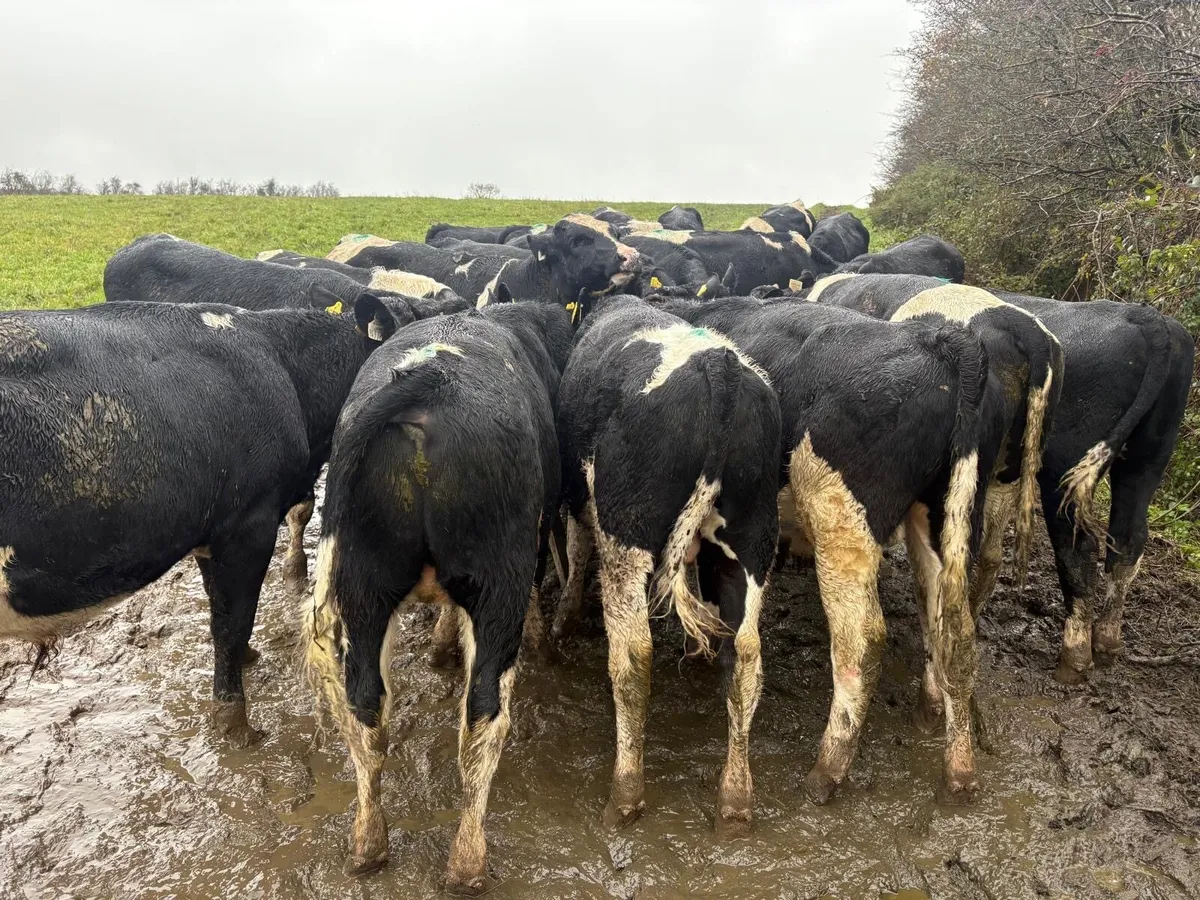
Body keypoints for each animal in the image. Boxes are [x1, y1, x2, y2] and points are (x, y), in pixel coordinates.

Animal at [0, 299, 384, 748]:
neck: (278, 362)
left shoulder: (211, 533)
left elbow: (221, 607)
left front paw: (245, 659)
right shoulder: (247, 525)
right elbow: (232, 622)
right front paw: (235, 722)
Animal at [302, 297, 573, 893]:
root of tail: (428, 380)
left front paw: (441, 647)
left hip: (364, 590)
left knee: (366, 707)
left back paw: (369, 845)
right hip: (498, 585)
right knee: (484, 716)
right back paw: (468, 863)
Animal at [550, 292, 782, 837]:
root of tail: (719, 368)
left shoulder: (578, 496)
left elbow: (576, 547)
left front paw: (563, 619)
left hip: (626, 533)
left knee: (634, 657)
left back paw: (625, 795)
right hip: (752, 540)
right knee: (745, 656)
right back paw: (735, 800)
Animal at [649, 293, 1002, 804]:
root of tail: (941, 342)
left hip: (840, 520)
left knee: (862, 641)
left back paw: (828, 768)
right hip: (947, 516)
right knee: (954, 631)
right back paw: (956, 765)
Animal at [987, 291, 1194, 684]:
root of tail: (1150, 320)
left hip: (1064, 463)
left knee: (1079, 545)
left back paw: (1074, 657)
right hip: (1150, 457)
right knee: (1128, 538)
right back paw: (1107, 643)